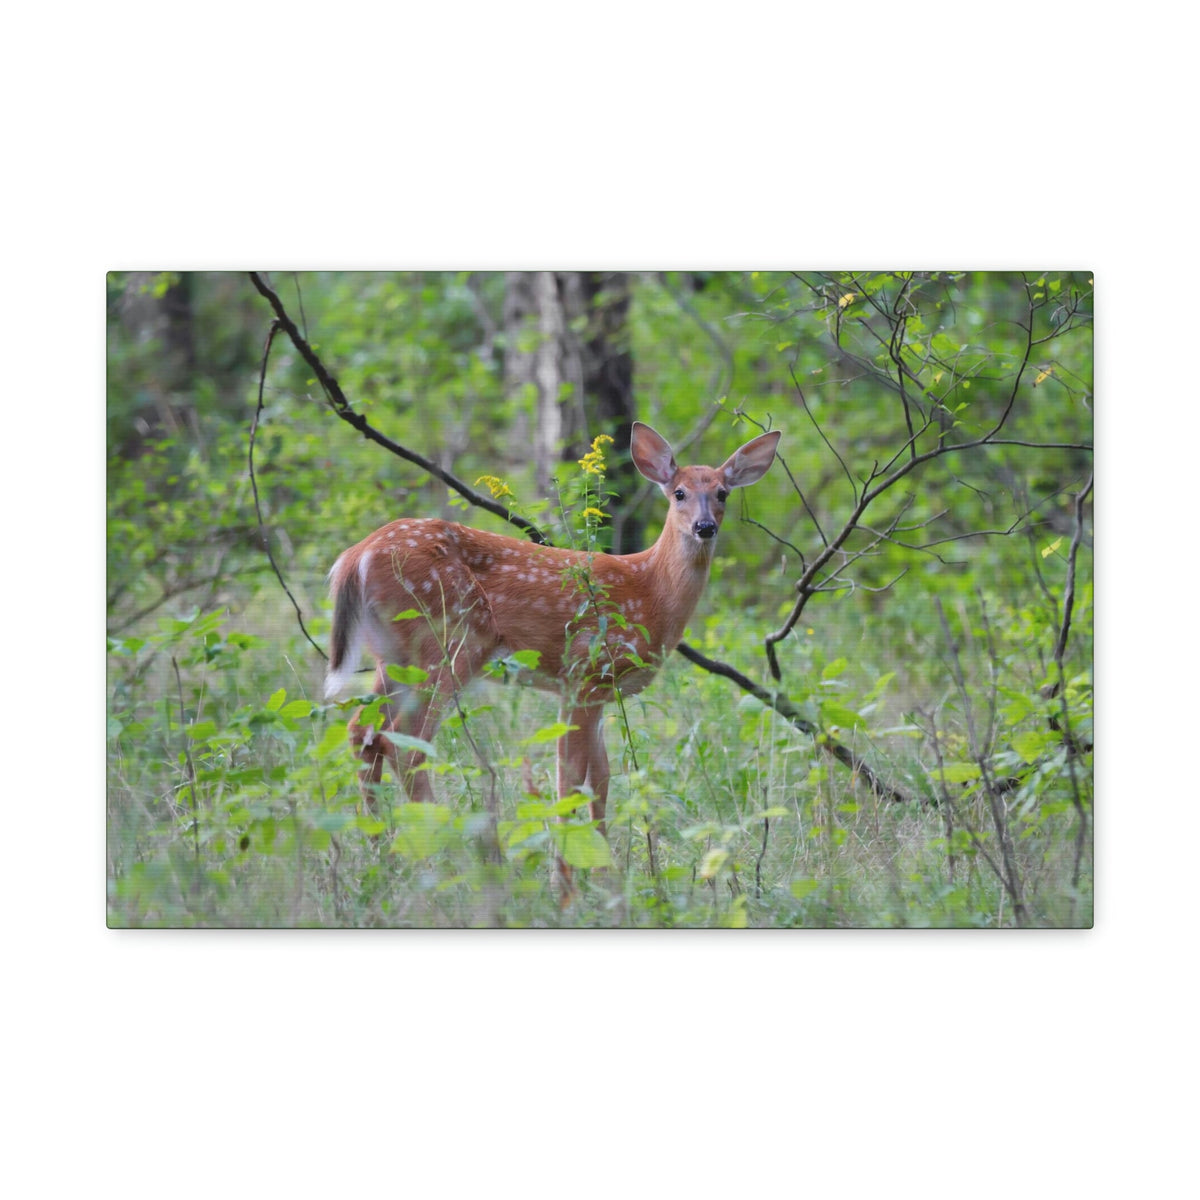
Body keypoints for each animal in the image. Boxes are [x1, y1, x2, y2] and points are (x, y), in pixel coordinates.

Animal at [324, 421, 781, 869]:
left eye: (722, 493)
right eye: (679, 492)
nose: (705, 527)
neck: (651, 592)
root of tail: (355, 557)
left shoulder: (597, 689)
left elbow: (601, 777)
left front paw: (604, 863)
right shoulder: (584, 671)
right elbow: (571, 776)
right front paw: (567, 862)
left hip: (394, 655)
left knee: (362, 731)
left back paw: (381, 850)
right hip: (449, 640)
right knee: (405, 743)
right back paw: (448, 853)